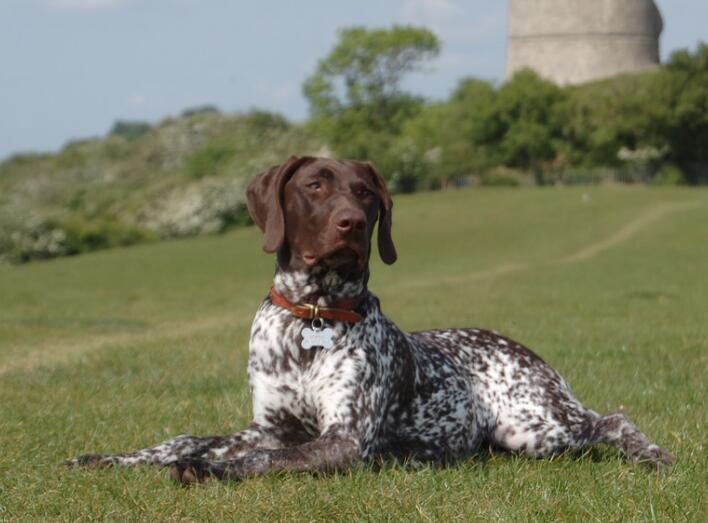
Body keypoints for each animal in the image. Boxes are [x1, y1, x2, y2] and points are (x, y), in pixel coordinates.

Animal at [67, 156, 674, 483]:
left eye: (365, 193)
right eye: (313, 185)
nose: (352, 223)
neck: (311, 317)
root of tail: (518, 345)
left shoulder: (341, 439)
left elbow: (261, 459)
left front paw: (210, 470)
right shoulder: (268, 425)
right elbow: (185, 439)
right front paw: (110, 457)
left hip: (534, 425)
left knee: (612, 419)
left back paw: (652, 453)